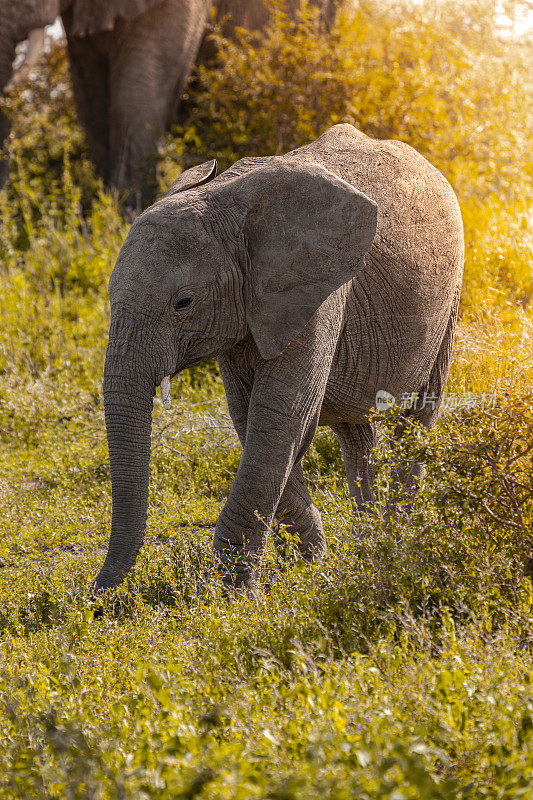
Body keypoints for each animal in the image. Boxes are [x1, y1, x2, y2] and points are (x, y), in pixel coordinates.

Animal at [95, 123, 462, 588]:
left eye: (184, 303)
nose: (92, 596)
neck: (226, 202)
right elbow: (252, 417)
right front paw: (311, 565)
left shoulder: (317, 291)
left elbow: (279, 415)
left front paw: (233, 595)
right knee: (356, 434)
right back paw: (369, 543)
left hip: (450, 300)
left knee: (415, 420)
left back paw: (396, 543)